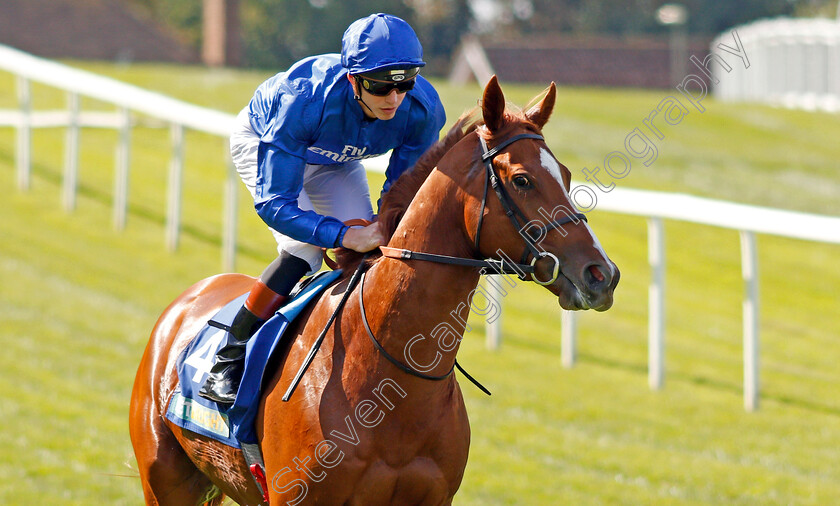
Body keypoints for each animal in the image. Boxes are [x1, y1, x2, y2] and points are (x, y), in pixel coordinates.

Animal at [130, 76, 616, 506]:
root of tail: (191, 297)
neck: (391, 379)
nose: (602, 274)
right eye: (521, 179)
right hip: (164, 479)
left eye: (566, 175)